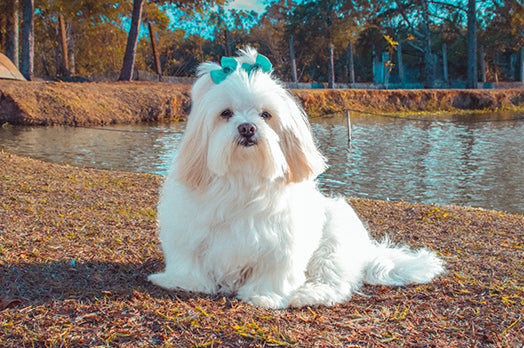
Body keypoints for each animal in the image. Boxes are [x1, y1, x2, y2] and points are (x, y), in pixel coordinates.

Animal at [149, 47, 444, 308]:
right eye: (226, 113)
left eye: (265, 114)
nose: (247, 128)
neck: (243, 177)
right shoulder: (188, 233)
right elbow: (188, 262)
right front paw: (184, 283)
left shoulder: (281, 245)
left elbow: (273, 274)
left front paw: (265, 297)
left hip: (332, 247)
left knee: (334, 284)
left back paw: (307, 295)